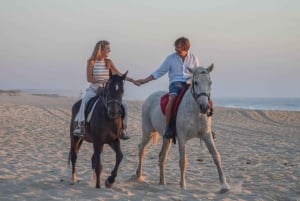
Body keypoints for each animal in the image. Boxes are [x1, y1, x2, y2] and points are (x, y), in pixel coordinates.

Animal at [135, 64, 230, 193]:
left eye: (210, 82)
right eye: (195, 82)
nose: (205, 107)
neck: (196, 111)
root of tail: (149, 97)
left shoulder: (207, 135)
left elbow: (216, 156)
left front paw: (224, 185)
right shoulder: (182, 137)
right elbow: (183, 161)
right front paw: (183, 185)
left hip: (167, 138)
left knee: (162, 156)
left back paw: (162, 181)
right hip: (148, 132)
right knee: (141, 148)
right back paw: (139, 175)